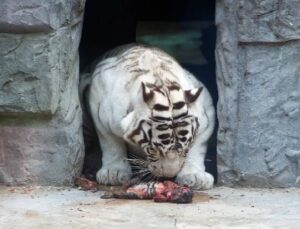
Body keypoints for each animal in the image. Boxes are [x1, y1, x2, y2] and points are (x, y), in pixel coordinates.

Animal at [86, 43, 216, 190]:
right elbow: (110, 142)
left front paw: (195, 175)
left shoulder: (207, 113)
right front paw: (113, 172)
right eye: (154, 150)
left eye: (185, 149)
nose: (169, 176)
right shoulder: (98, 100)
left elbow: (198, 147)